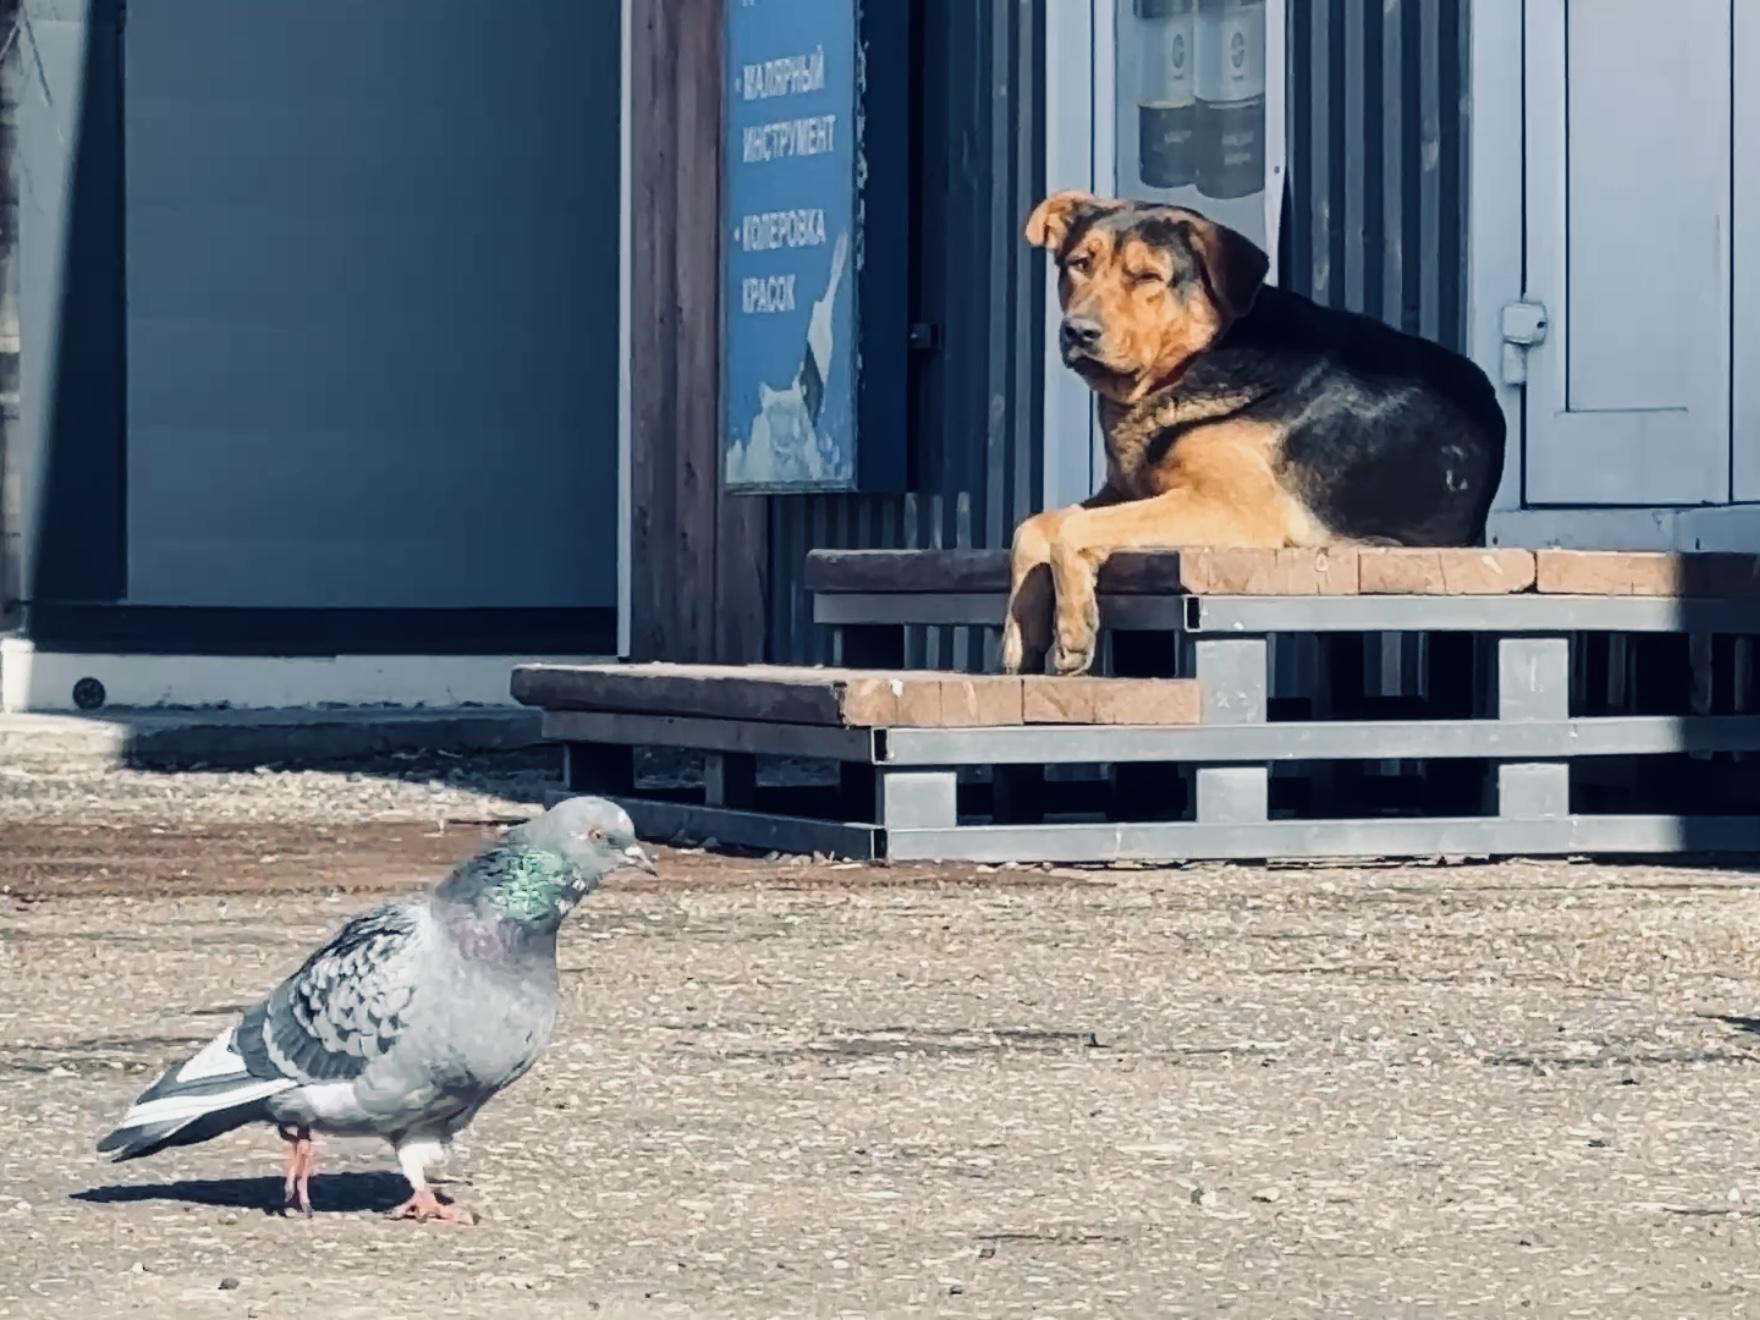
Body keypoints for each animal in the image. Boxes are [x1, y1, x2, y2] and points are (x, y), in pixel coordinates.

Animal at [1013, 190, 1506, 675]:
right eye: (1079, 264)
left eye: (1148, 277)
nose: (1078, 331)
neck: (1197, 360)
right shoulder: (1124, 493)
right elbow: (1035, 525)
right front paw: (1021, 635)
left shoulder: (1230, 506)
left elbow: (1072, 528)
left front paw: (1072, 630)